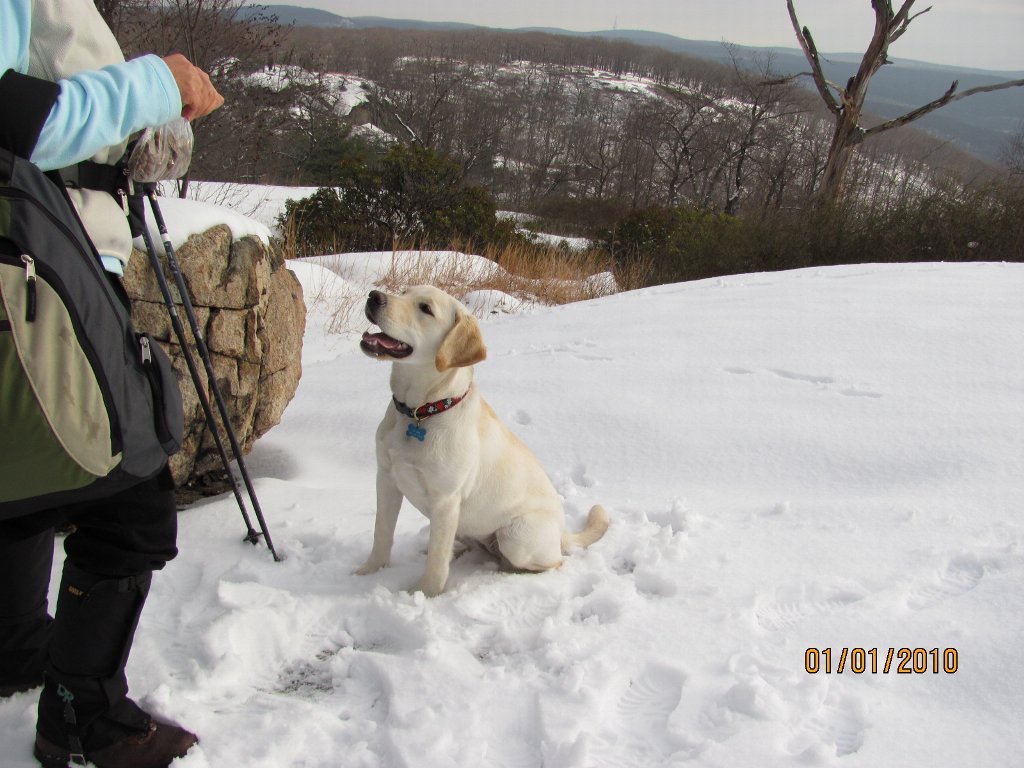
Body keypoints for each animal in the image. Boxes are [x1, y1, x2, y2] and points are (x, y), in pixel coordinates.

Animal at [356, 286, 606, 598]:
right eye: (403, 291)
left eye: (425, 308)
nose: (374, 296)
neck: (422, 411)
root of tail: (562, 534)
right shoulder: (386, 479)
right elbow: (382, 533)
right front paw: (368, 572)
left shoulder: (445, 500)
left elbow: (436, 562)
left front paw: (425, 594)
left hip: (515, 535)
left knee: (552, 561)